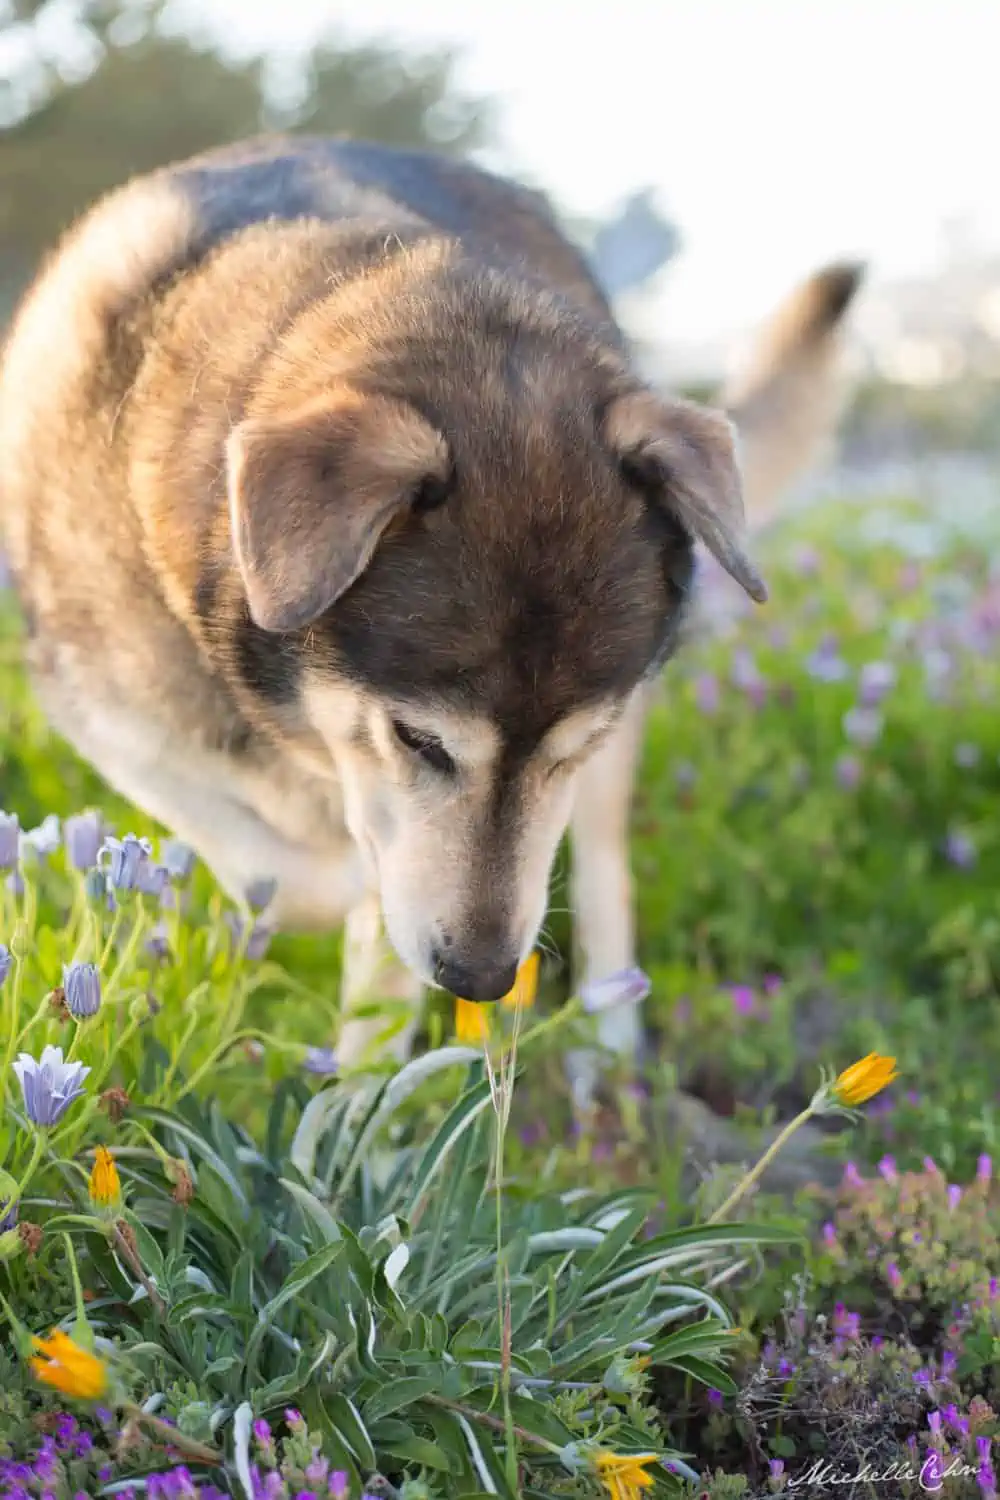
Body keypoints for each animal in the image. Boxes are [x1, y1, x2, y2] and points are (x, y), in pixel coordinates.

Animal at [0, 132, 863, 1068]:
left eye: (575, 747)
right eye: (418, 740)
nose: (482, 980)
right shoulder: (113, 719)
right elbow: (275, 865)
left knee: (603, 873)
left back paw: (606, 1044)